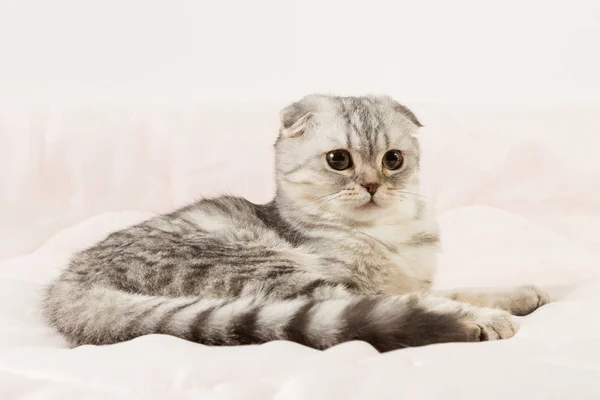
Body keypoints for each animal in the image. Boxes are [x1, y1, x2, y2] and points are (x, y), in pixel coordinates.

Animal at [41, 95, 548, 352]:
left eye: (394, 160)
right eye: (339, 160)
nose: (372, 185)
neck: (386, 233)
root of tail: (69, 290)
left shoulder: (413, 280)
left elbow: (459, 288)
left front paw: (521, 294)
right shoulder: (366, 286)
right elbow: (431, 299)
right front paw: (493, 314)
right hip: (270, 267)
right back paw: (475, 323)